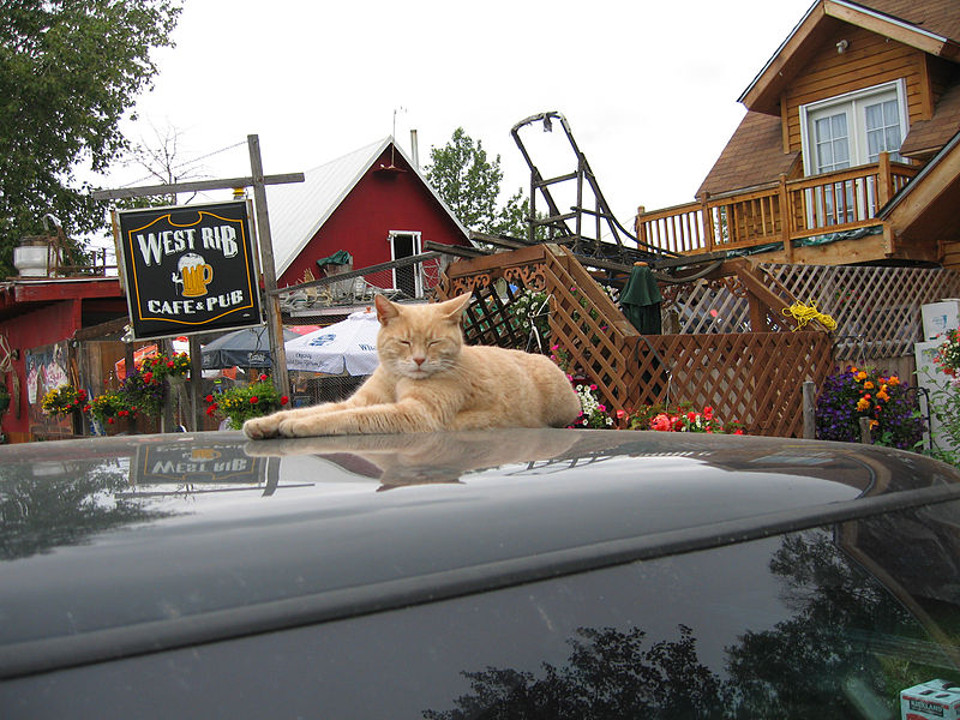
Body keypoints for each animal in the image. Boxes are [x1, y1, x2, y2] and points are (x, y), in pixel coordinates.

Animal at [244, 292, 580, 438]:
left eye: (433, 342)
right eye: (405, 342)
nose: (419, 360)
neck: (397, 379)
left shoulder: (415, 413)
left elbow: (347, 417)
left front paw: (299, 426)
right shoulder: (360, 400)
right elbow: (309, 410)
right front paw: (264, 423)